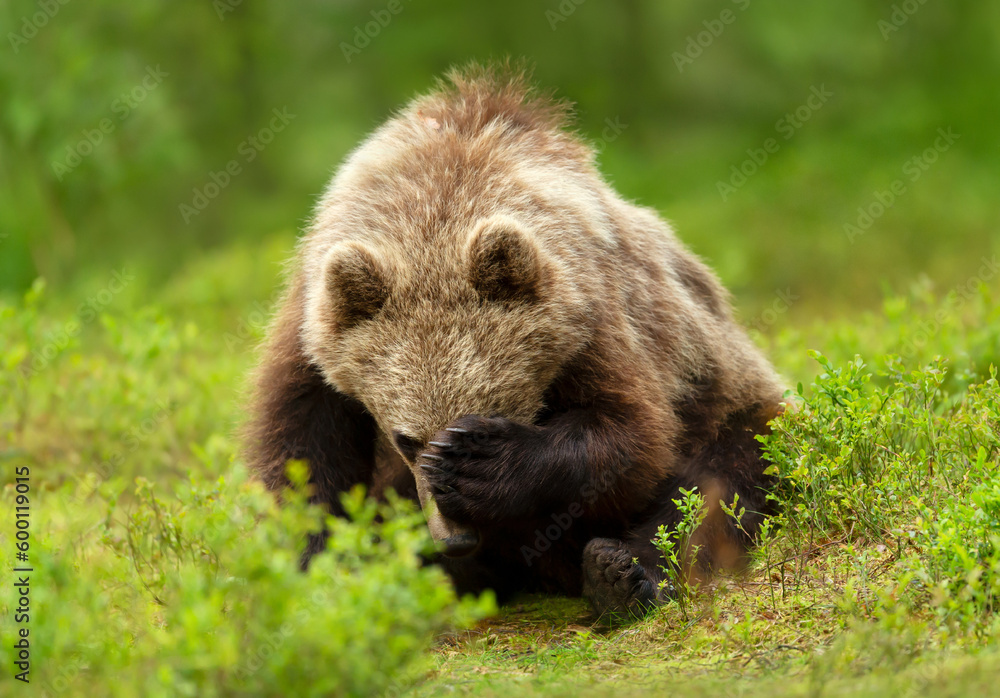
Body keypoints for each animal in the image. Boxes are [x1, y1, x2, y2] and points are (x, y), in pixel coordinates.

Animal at [243, 64, 785, 619]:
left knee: (726, 478)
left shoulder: (593, 318)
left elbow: (633, 433)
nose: (455, 538)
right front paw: (313, 567)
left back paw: (621, 572)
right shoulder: (310, 330)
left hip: (727, 393)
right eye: (405, 439)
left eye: (496, 411)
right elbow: (302, 450)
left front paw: (482, 464)